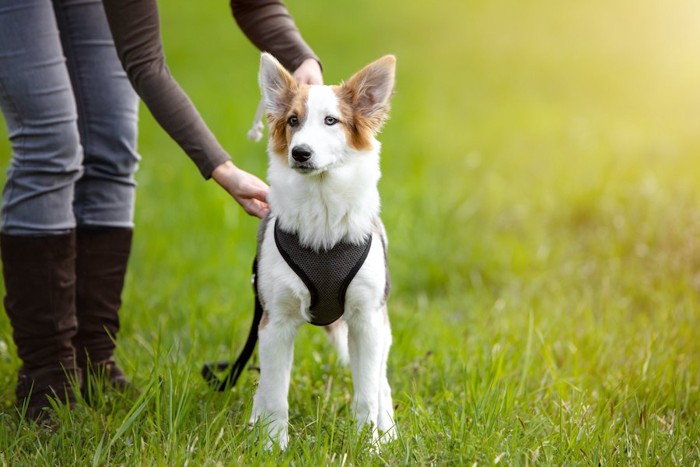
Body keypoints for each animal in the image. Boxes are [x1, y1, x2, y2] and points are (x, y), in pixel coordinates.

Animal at [252, 53, 396, 452]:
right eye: (293, 121)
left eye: (331, 120)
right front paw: (272, 448)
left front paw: (368, 447)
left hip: (380, 327)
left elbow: (366, 395)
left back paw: (389, 432)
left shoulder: (366, 320)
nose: (300, 152)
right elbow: (275, 396)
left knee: (381, 384)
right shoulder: (275, 323)